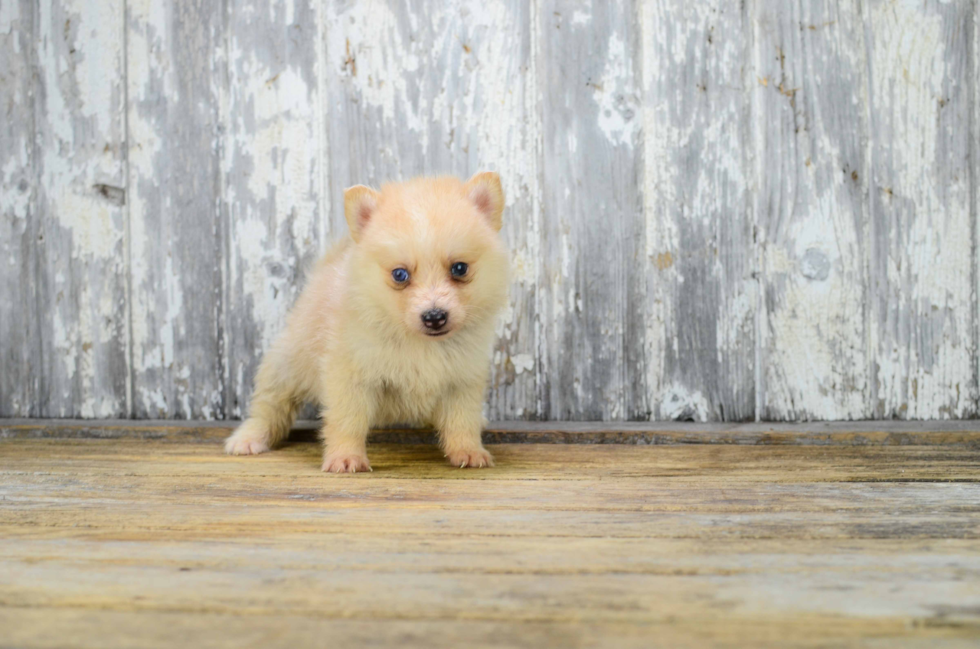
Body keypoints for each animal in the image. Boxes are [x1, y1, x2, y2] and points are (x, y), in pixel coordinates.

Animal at [223, 172, 510, 470]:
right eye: (399, 274)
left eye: (460, 268)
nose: (434, 317)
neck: (420, 343)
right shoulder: (350, 377)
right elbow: (347, 420)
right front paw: (346, 457)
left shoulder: (462, 379)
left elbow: (462, 419)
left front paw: (468, 451)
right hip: (285, 367)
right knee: (269, 406)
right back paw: (249, 438)